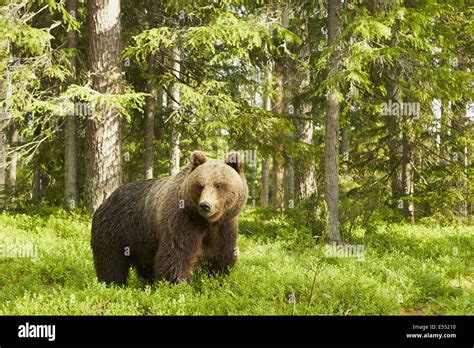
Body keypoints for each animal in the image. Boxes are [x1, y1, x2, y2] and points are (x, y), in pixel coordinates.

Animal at [90, 151, 250, 284]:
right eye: (200, 185)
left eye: (218, 185)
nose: (205, 205)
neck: (207, 222)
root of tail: (105, 201)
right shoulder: (182, 219)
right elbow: (177, 253)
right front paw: (178, 283)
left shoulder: (225, 225)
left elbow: (222, 253)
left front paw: (218, 277)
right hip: (115, 230)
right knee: (110, 261)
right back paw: (112, 283)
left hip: (141, 241)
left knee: (145, 264)